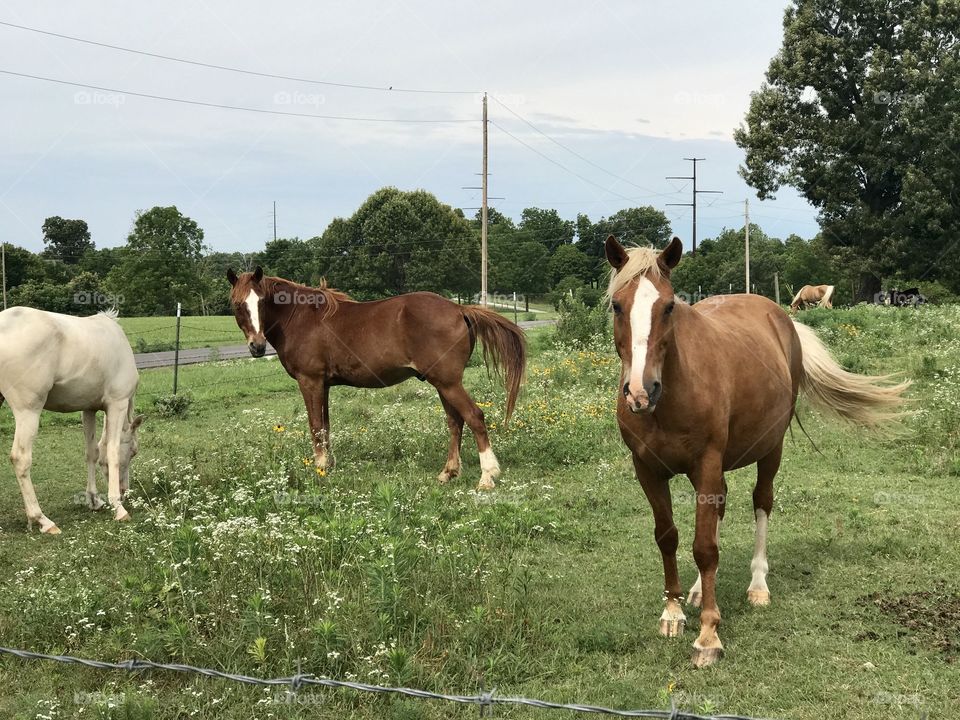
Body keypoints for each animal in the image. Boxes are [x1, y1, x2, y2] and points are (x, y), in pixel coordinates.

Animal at [0, 307, 143, 533]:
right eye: (134, 452)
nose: (124, 490)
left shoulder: (89, 409)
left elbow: (92, 452)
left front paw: (94, 500)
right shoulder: (117, 404)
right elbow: (111, 451)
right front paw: (118, 508)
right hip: (28, 411)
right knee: (21, 459)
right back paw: (42, 520)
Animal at [226, 268, 526, 490]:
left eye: (261, 302)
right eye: (238, 305)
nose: (257, 346)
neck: (301, 318)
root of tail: (458, 309)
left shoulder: (309, 381)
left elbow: (315, 426)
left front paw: (320, 467)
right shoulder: (323, 385)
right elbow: (326, 426)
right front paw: (329, 465)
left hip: (449, 383)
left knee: (474, 417)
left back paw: (487, 476)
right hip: (444, 384)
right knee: (455, 422)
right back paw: (448, 472)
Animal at [604, 236, 908, 667]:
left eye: (668, 306)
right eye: (617, 305)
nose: (640, 392)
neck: (671, 396)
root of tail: (781, 318)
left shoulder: (707, 464)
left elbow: (705, 547)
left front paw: (708, 635)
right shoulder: (647, 469)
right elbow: (669, 537)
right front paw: (674, 612)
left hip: (770, 451)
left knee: (761, 502)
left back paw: (758, 585)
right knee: (719, 511)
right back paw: (696, 590)